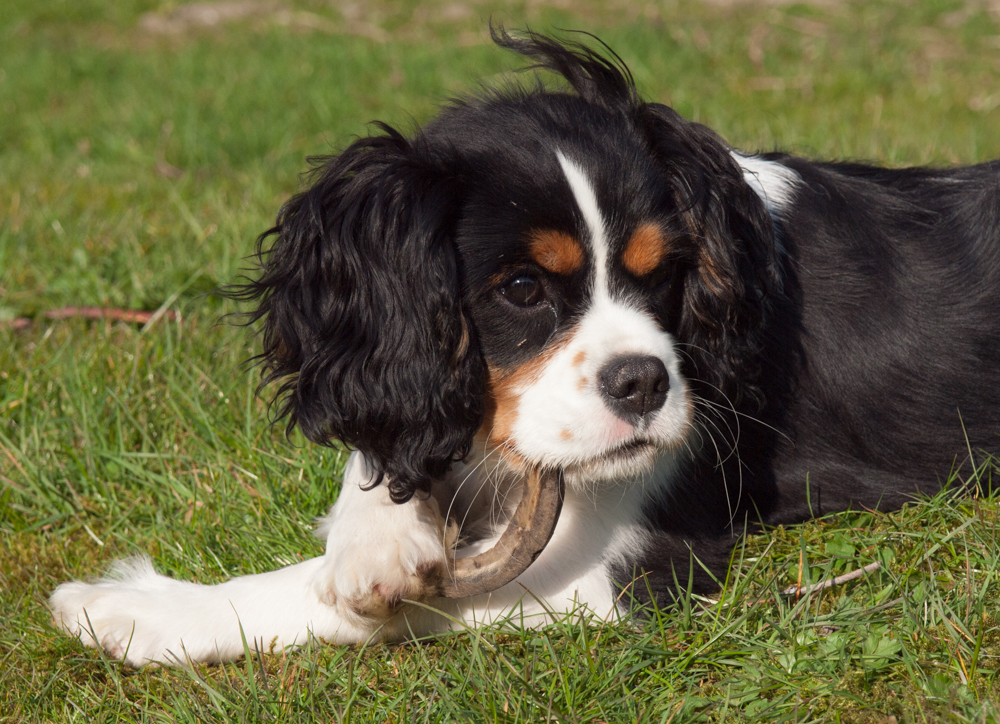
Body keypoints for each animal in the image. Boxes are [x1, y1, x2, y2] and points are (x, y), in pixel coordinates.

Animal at [50, 28, 996, 664]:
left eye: (666, 274)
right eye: (521, 290)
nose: (644, 384)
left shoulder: (615, 574)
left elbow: (326, 596)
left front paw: (136, 611)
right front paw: (375, 539)